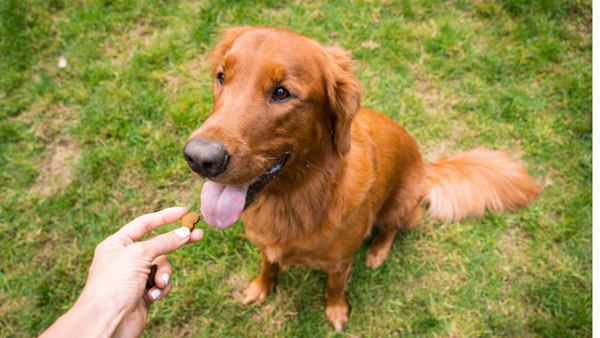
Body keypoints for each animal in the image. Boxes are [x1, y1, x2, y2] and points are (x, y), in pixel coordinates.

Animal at [184, 25, 540, 330]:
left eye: (282, 93)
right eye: (221, 77)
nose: (199, 158)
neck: (291, 197)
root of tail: (426, 166)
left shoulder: (341, 262)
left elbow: (335, 286)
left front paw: (336, 310)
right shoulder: (263, 244)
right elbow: (268, 264)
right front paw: (261, 287)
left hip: (401, 205)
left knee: (394, 227)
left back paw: (378, 251)